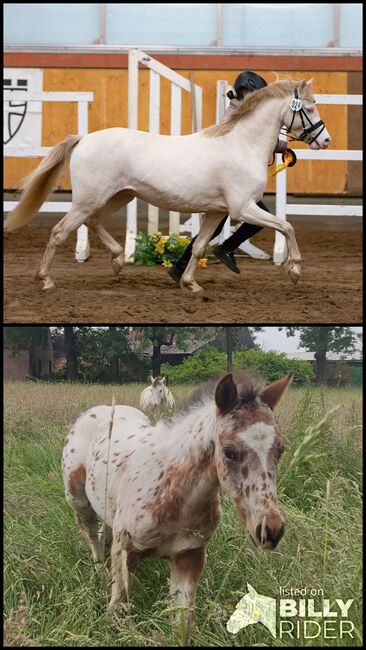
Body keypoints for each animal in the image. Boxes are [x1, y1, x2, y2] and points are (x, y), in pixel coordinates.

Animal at [4, 77, 330, 294]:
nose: (325, 140)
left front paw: (190, 284)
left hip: (118, 196)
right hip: (89, 199)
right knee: (60, 232)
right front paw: (295, 270)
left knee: (93, 222)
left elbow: (199, 246)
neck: (240, 144)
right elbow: (287, 226)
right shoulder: (243, 209)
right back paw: (46, 280)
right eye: (310, 108)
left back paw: (118, 261)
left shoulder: (217, 212)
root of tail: (84, 138)